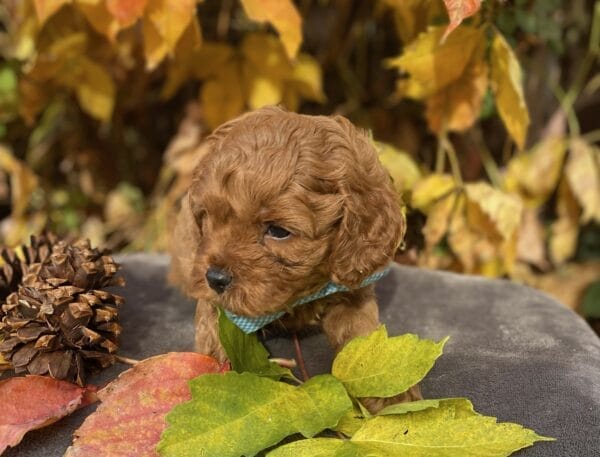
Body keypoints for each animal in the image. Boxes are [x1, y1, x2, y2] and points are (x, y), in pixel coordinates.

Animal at [166, 105, 406, 366]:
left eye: (278, 231)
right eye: (207, 217)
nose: (215, 278)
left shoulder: (352, 287)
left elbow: (361, 336)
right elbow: (214, 335)